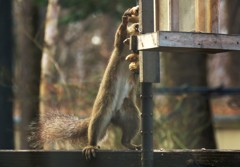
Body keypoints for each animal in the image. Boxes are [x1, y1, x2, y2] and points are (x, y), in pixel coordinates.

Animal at [28, 5, 141, 160]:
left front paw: (136, 65)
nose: (137, 28)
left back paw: (131, 145)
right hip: (101, 114)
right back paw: (91, 146)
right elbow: (119, 36)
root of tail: (114, 117)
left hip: (131, 115)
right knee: (95, 133)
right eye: (136, 26)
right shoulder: (119, 45)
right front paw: (125, 20)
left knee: (125, 138)